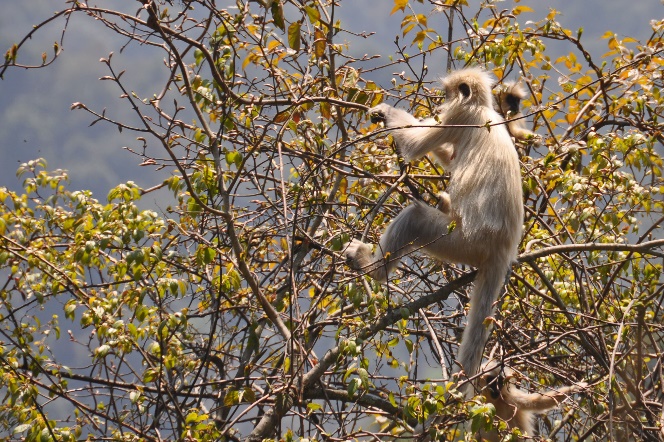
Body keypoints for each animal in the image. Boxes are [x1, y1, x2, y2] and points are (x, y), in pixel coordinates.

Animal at [342, 67, 524, 382]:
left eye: (447, 95)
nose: (439, 106)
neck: (483, 109)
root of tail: (502, 249)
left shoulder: (460, 115)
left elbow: (415, 145)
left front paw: (385, 111)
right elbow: (448, 157)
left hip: (460, 242)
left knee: (414, 219)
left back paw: (371, 267)